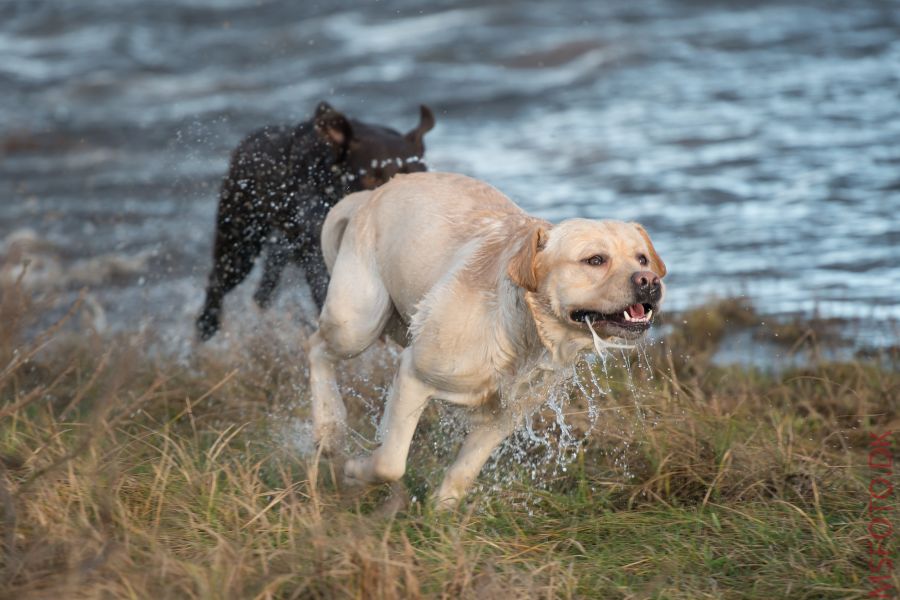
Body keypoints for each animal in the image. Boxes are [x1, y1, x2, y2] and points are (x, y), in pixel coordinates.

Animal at [198, 101, 436, 340]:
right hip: (239, 247)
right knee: (216, 284)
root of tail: (245, 144)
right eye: (370, 177)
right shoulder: (318, 256)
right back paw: (207, 330)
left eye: (415, 175)